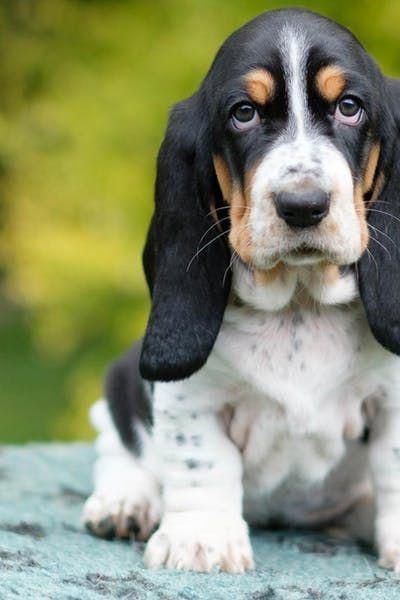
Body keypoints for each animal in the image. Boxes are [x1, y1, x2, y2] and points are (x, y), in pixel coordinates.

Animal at [82, 8, 400, 572]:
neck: (299, 304)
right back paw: (125, 503)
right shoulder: (192, 396)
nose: (303, 205)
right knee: (119, 444)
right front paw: (201, 540)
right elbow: (201, 460)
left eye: (349, 107)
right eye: (244, 114)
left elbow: (394, 470)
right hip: (122, 381)